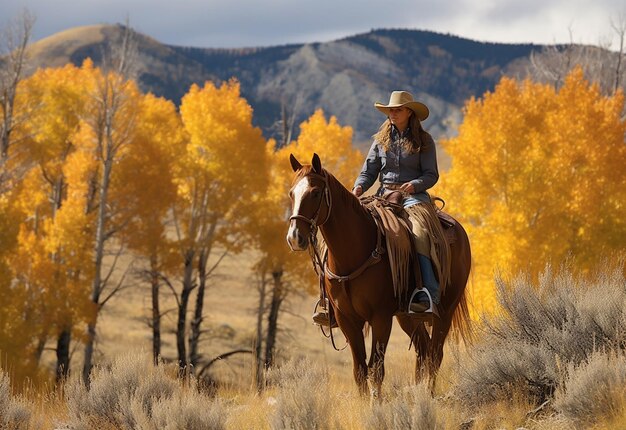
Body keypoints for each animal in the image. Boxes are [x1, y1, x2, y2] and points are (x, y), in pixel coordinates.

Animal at [286, 153, 470, 398]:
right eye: (291, 193)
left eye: (315, 192)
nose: (294, 237)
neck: (352, 255)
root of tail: (458, 230)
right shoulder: (346, 319)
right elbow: (360, 371)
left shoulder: (380, 318)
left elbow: (376, 369)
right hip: (407, 316)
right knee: (423, 350)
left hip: (445, 311)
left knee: (434, 354)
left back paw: (427, 396)